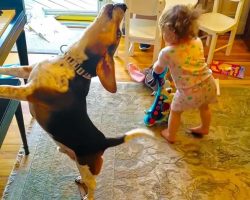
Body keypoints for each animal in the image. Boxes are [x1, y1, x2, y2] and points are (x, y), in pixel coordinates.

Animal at [0, 3, 156, 200]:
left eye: (119, 34)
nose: (124, 5)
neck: (72, 64)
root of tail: (104, 141)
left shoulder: (29, 92)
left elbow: (6, 89)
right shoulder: (27, 71)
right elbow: (12, 69)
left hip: (85, 164)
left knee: (93, 184)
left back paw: (87, 194)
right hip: (77, 160)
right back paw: (79, 179)